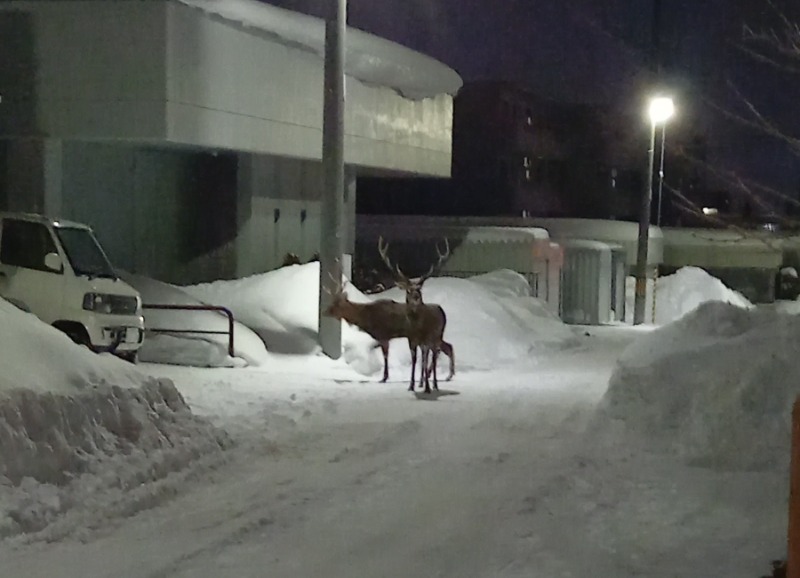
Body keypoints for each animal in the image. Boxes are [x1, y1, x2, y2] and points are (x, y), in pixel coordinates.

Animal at [376, 234, 454, 388]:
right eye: (408, 290)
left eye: (420, 289)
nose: (416, 298)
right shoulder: (410, 339)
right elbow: (414, 359)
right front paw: (412, 384)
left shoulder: (425, 339)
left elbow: (423, 358)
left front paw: (422, 383)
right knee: (438, 351)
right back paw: (427, 380)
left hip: (437, 336)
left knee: (437, 352)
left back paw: (436, 379)